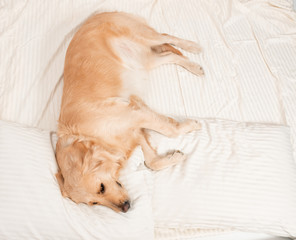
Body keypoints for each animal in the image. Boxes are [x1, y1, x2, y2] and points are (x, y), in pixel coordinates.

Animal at [55, 12, 204, 213]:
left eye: (101, 188)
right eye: (94, 203)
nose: (125, 207)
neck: (90, 133)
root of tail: (92, 17)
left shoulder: (133, 113)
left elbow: (170, 130)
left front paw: (191, 125)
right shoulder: (134, 127)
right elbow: (151, 162)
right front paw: (173, 157)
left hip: (143, 36)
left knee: (167, 37)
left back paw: (193, 47)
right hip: (144, 60)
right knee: (169, 55)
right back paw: (193, 66)